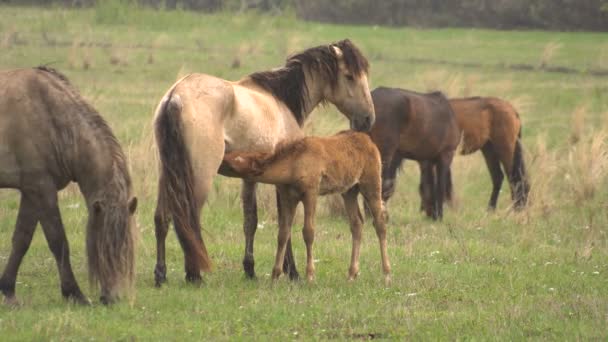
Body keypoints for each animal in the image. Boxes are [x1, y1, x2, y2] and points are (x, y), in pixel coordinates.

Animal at [0, 66, 138, 304]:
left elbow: (21, 239)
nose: (112, 298)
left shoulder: (31, 191)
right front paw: (74, 293)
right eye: (102, 248)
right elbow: (58, 241)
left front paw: (8, 290)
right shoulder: (41, 189)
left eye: (125, 249)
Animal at [222, 131, 390, 284]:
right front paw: (275, 275)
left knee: (380, 223)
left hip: (371, 184)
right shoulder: (288, 198)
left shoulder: (311, 194)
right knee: (357, 224)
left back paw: (386, 274)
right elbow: (283, 233)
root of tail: (369, 141)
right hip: (349, 191)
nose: (220, 159)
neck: (292, 165)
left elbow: (308, 232)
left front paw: (310, 275)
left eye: (230, 162)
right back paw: (351, 274)